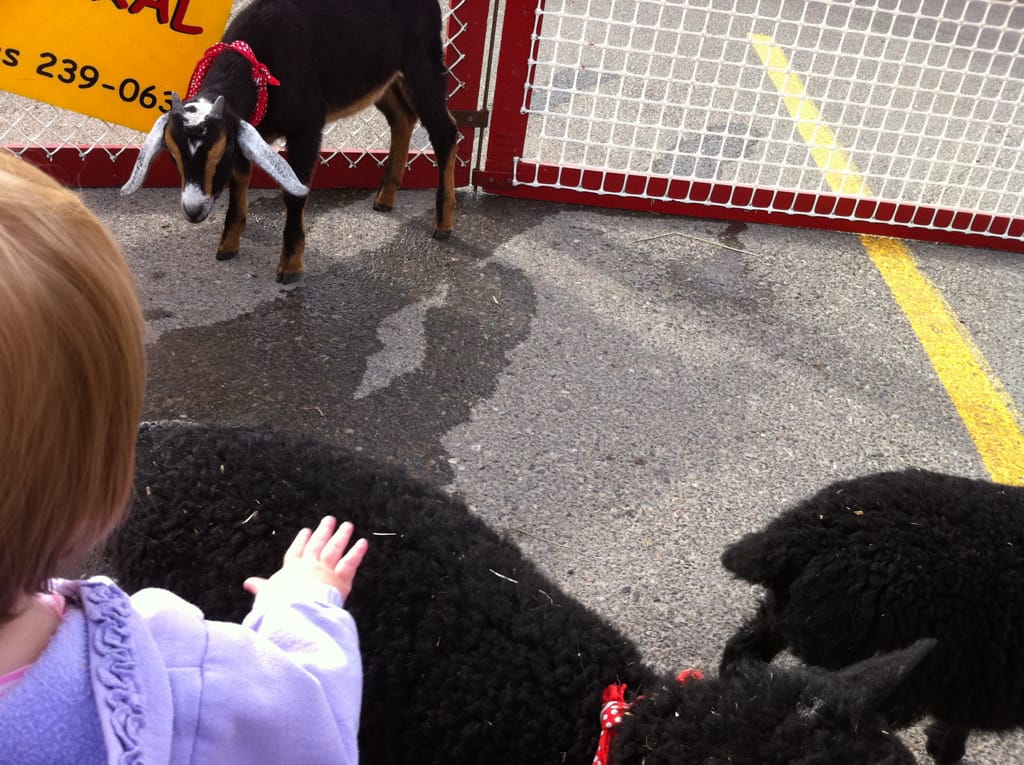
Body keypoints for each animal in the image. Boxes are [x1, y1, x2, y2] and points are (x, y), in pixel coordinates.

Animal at [121, 0, 459, 283]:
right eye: (173, 155)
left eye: (221, 152)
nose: (193, 210)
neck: (259, 70)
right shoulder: (249, 129)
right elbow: (240, 180)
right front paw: (228, 243)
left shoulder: (306, 129)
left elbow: (294, 192)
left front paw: (290, 266)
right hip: (381, 77)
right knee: (402, 119)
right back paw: (386, 197)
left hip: (423, 62)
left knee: (444, 131)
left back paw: (443, 223)